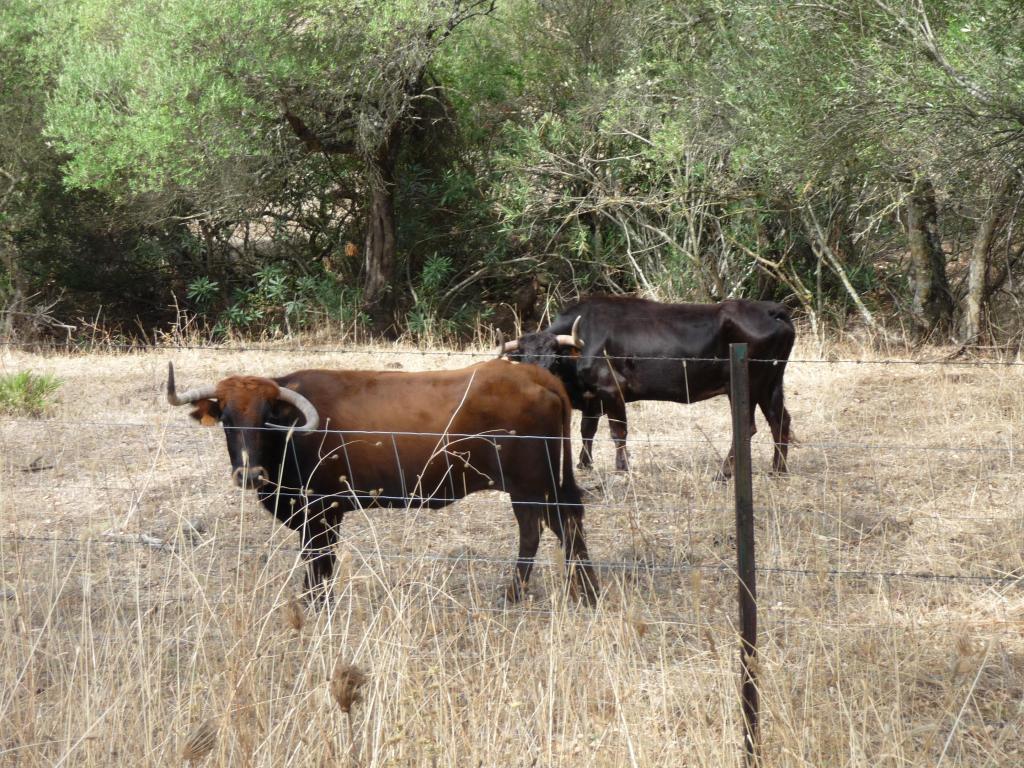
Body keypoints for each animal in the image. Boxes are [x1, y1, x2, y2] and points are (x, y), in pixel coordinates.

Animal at [164, 360, 598, 606]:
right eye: (226, 418)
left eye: (268, 416)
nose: (250, 474)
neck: (292, 436)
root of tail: (536, 375)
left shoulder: (321, 513)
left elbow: (320, 563)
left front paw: (316, 605)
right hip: (542, 484)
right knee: (559, 524)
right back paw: (576, 590)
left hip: (531, 484)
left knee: (547, 528)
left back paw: (533, 594)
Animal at [499, 296, 794, 479]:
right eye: (524, 362)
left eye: (553, 361)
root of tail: (769, 309)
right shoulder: (592, 397)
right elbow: (587, 431)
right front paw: (584, 464)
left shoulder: (611, 388)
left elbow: (618, 432)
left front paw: (621, 468)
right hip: (770, 383)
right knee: (779, 420)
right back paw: (778, 470)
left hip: (746, 384)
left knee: (747, 426)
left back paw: (725, 472)